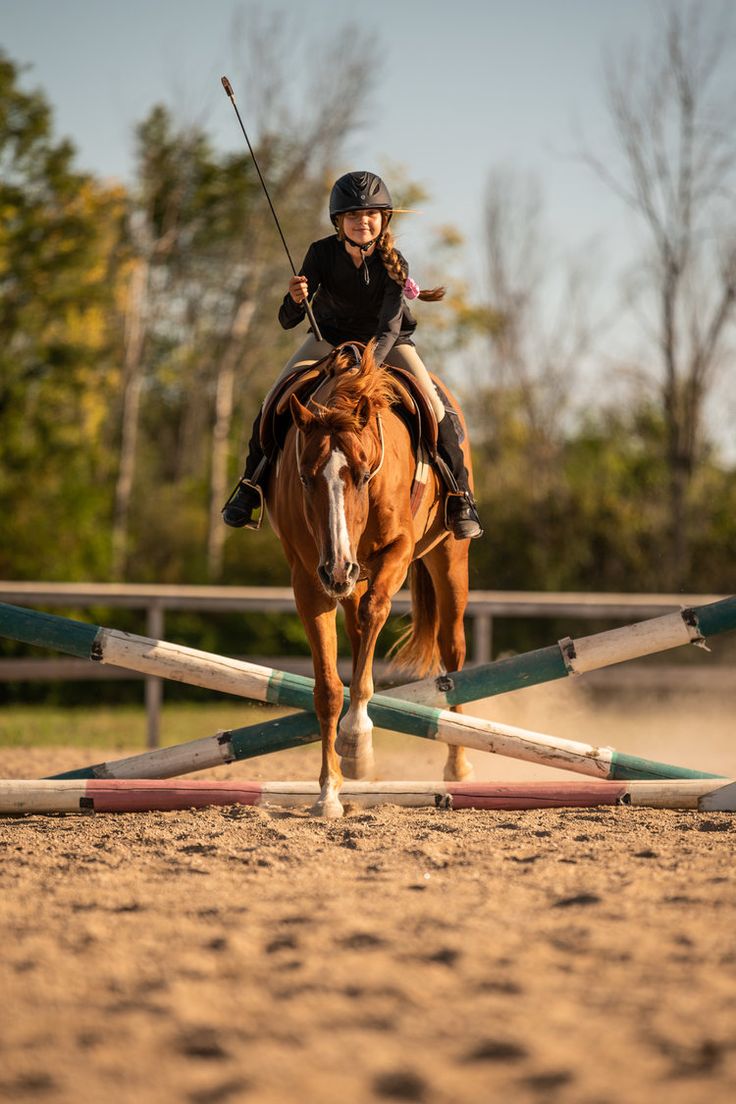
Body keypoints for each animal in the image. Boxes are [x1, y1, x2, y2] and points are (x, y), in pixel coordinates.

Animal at [265, 341, 473, 817]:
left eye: (363, 474)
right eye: (304, 477)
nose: (337, 569)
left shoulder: (397, 550)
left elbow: (376, 618)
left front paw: (356, 738)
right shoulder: (309, 580)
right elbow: (328, 689)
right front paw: (329, 791)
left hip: (448, 558)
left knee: (451, 651)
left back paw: (457, 768)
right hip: (350, 578)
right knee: (360, 633)